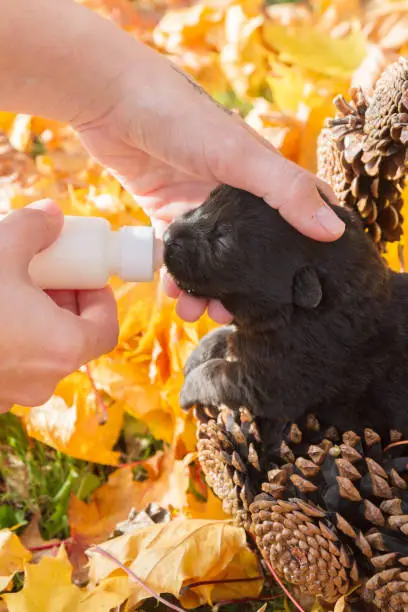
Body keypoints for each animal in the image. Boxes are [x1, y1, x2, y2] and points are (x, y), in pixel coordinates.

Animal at [163, 184, 408, 438]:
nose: (167, 235)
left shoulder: (269, 382)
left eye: (222, 241)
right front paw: (197, 355)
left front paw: (187, 389)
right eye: (208, 199)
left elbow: (217, 374)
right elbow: (224, 336)